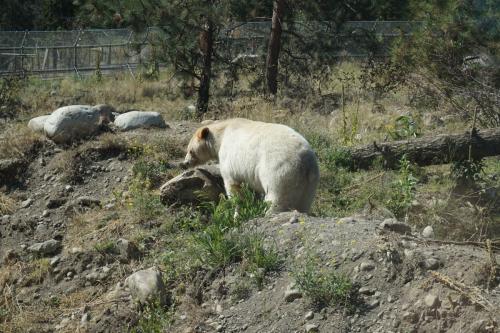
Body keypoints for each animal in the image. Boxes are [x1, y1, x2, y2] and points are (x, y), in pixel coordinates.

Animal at [182, 118, 318, 213]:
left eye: (190, 151)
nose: (185, 163)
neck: (223, 132)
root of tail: (305, 161)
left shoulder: (229, 157)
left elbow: (232, 185)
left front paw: (237, 212)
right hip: (309, 183)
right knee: (304, 202)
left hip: (280, 171)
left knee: (276, 198)